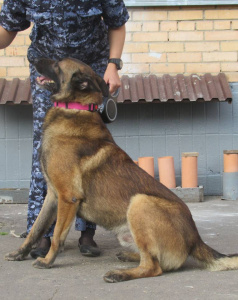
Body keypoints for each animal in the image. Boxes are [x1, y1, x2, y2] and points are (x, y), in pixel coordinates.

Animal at [4, 57, 238, 282]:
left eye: (56, 64)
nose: (33, 59)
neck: (75, 107)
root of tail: (195, 239)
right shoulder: (52, 196)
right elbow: (36, 228)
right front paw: (20, 253)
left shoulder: (67, 197)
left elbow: (56, 236)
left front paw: (47, 260)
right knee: (152, 259)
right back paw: (128, 256)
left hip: (140, 203)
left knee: (153, 267)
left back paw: (120, 273)